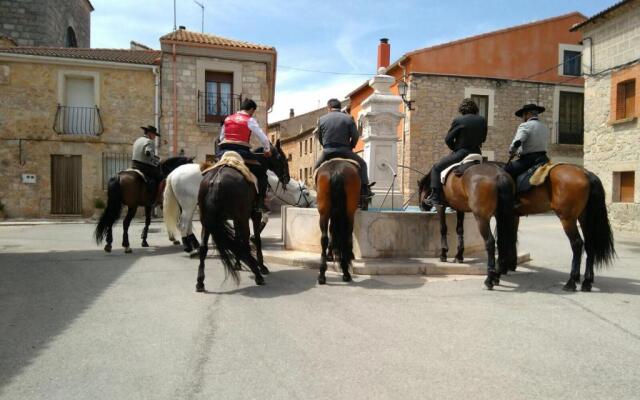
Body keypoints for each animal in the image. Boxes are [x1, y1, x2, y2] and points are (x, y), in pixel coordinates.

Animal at [165, 163, 316, 252]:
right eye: (307, 193)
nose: (312, 205)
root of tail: (174, 173)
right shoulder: (257, 205)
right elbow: (265, 217)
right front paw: (254, 237)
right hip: (188, 205)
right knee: (183, 224)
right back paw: (187, 246)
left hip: (187, 205)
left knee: (186, 224)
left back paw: (194, 243)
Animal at [192, 141, 288, 290]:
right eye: (282, 158)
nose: (287, 178)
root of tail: (216, 181)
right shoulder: (253, 215)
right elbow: (255, 239)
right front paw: (261, 266)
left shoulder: (236, 219)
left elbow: (237, 238)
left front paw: (238, 264)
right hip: (241, 217)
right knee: (246, 242)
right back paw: (258, 275)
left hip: (207, 221)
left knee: (203, 248)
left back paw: (200, 282)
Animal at [420, 161, 520, 290]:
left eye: (420, 189)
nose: (422, 206)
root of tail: (500, 175)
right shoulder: (459, 208)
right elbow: (459, 230)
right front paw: (459, 256)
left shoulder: (440, 206)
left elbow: (443, 228)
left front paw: (444, 254)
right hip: (503, 216)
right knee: (504, 241)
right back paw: (497, 276)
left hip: (482, 219)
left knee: (490, 242)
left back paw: (489, 279)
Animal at [510, 162, 616, 290]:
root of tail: (586, 173)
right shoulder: (513, 216)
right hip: (584, 218)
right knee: (589, 244)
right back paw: (587, 281)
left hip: (567, 219)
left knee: (577, 244)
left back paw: (572, 281)